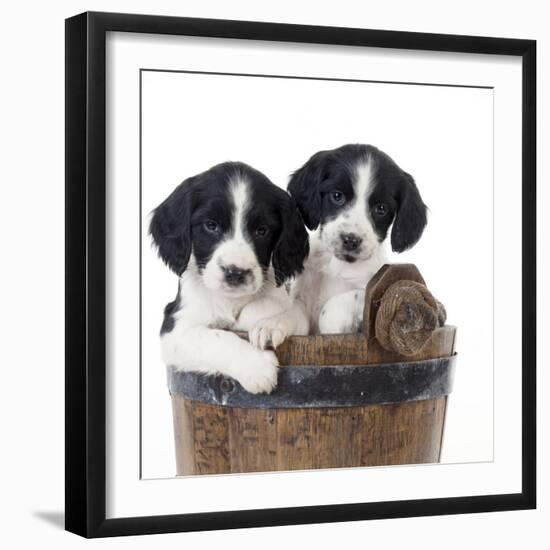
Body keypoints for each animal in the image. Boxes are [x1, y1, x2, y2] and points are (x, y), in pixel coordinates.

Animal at [152, 162, 310, 394]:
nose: (235, 272)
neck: (230, 300)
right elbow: (215, 338)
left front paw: (266, 326)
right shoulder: (174, 329)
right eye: (211, 225)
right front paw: (256, 367)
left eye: (262, 231)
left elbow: (273, 309)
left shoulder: (296, 314)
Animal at [292, 144, 430, 336]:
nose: (351, 240)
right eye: (337, 196)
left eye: (381, 208)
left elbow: (344, 301)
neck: (340, 267)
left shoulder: (374, 289)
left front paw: (331, 325)